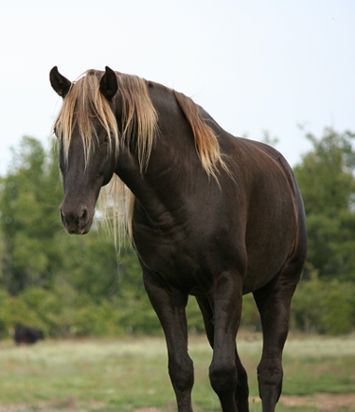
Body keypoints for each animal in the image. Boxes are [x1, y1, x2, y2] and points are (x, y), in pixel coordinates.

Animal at [49, 66, 306, 410]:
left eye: (104, 133)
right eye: (58, 133)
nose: (74, 214)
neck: (184, 192)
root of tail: (284, 171)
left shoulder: (228, 282)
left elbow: (222, 373)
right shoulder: (164, 289)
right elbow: (182, 372)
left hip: (277, 287)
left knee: (269, 374)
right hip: (207, 300)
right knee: (242, 376)